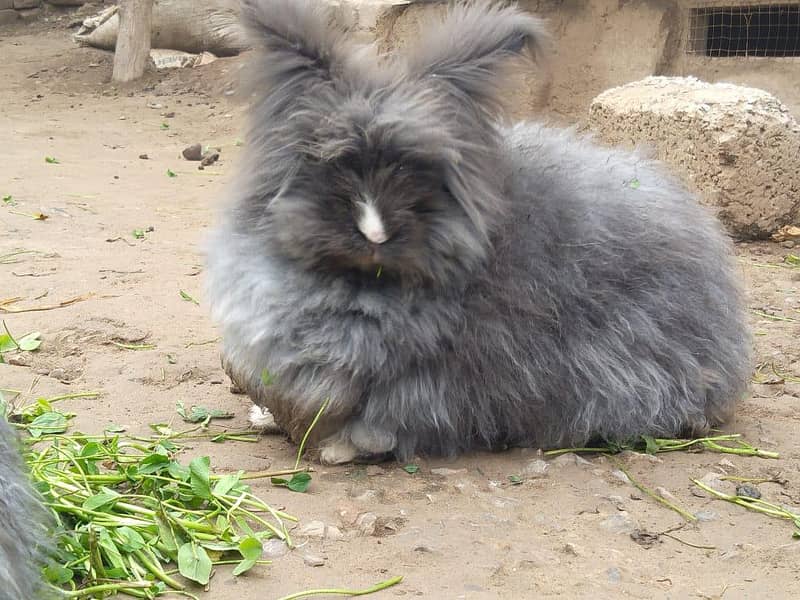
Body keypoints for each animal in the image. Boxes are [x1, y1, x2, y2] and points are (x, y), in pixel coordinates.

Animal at [205, 0, 752, 465]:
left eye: (417, 174)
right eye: (332, 168)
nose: (376, 233)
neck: (361, 287)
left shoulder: (432, 382)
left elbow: (384, 421)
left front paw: (341, 449)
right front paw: (263, 417)